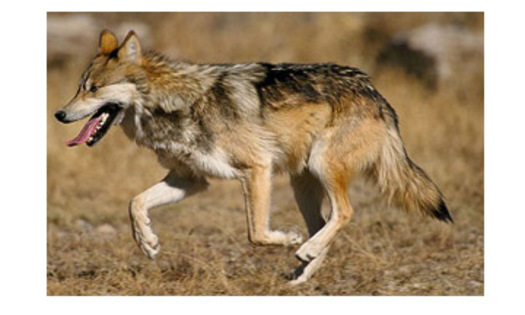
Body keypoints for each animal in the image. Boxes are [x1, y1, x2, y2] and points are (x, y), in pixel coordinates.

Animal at [55, 30, 452, 286]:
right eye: (79, 87)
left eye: (94, 89)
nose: (59, 114)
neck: (175, 104)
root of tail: (374, 91)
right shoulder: (190, 180)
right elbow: (135, 203)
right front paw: (148, 243)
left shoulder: (256, 169)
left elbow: (256, 233)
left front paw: (287, 239)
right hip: (302, 184)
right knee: (324, 223)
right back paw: (302, 271)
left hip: (321, 168)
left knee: (344, 213)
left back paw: (303, 249)